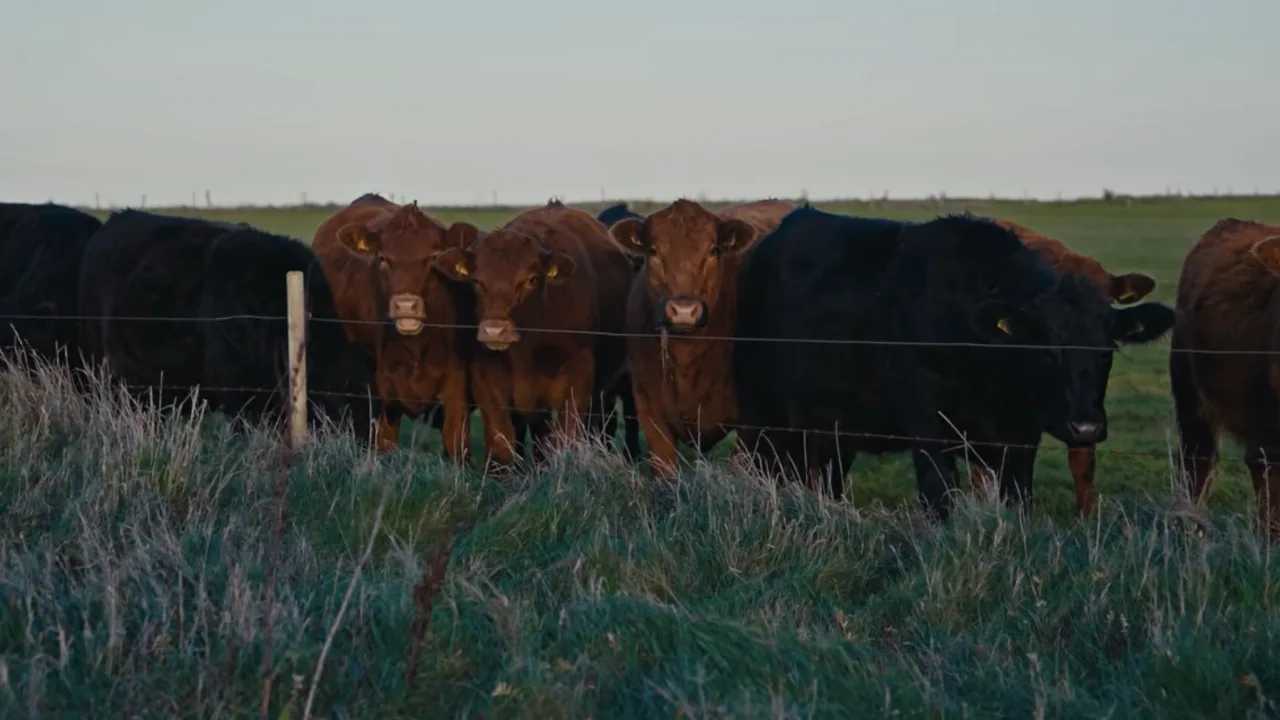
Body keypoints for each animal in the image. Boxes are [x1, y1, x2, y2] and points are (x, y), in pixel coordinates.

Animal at [312, 193, 481, 460]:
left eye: (433, 258)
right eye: (383, 258)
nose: (405, 306)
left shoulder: (456, 391)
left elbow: (457, 449)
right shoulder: (380, 399)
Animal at [432, 199, 640, 468]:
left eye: (531, 279)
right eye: (477, 281)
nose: (494, 330)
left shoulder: (578, 376)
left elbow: (565, 437)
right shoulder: (486, 378)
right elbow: (501, 441)